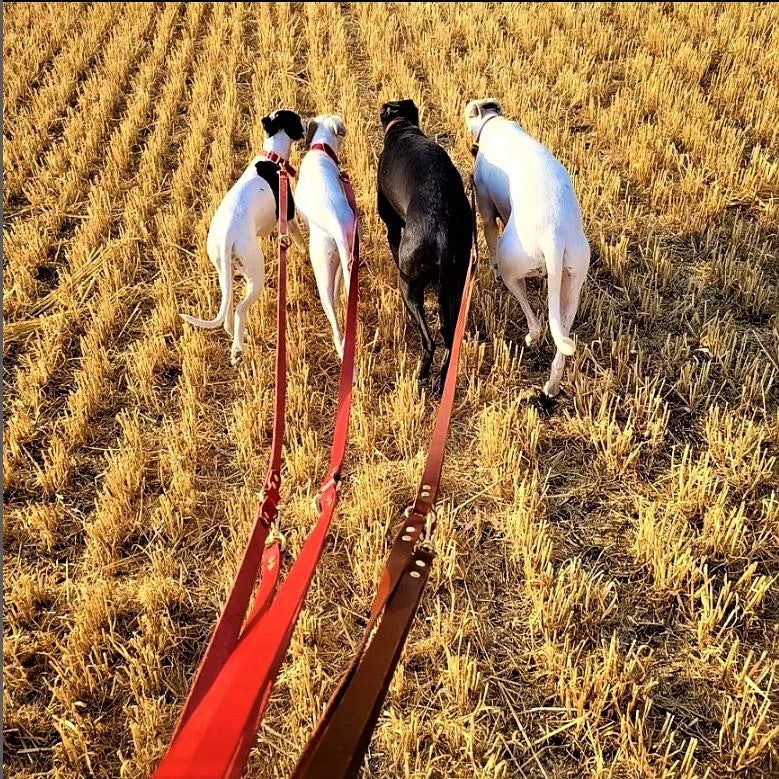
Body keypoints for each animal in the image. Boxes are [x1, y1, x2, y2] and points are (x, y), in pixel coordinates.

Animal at [181, 106, 308, 366]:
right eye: (297, 118)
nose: (308, 122)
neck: (272, 158)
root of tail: (227, 235)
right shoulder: (289, 217)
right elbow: (301, 242)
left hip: (225, 272)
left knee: (229, 312)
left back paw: (238, 340)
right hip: (255, 273)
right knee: (240, 309)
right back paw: (238, 350)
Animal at [292, 112, 356, 360]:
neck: (321, 149)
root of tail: (335, 224)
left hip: (322, 271)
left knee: (334, 318)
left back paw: (340, 347)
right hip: (343, 255)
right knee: (340, 291)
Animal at [376, 98, 470, 390]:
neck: (402, 128)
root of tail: (442, 234)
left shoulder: (392, 228)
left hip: (408, 284)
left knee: (430, 341)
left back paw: (421, 376)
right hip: (456, 284)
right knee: (449, 337)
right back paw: (441, 379)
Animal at [464, 98, 592, 400]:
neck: (494, 124)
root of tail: (554, 236)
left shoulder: (486, 212)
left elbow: (489, 236)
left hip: (512, 266)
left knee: (535, 322)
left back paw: (531, 338)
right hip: (572, 285)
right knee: (560, 343)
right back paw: (552, 387)